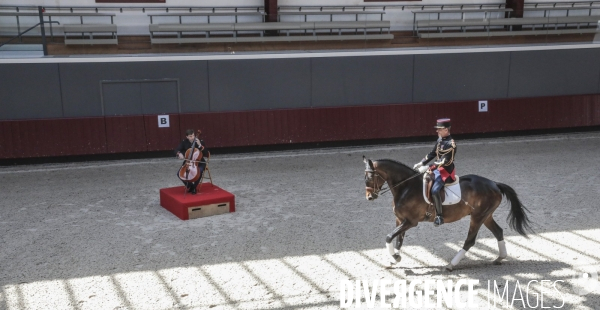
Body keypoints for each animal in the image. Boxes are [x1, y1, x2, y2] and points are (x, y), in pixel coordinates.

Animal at [364, 156, 532, 270]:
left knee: (470, 241)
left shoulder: (410, 222)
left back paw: (451, 264)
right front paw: (395, 259)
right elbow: (398, 240)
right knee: (498, 232)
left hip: (477, 217)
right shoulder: (400, 220)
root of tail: (494, 184)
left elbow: (389, 237)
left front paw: (394, 257)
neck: (406, 187)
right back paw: (499, 258)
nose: (369, 197)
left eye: (370, 177)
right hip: (486, 216)